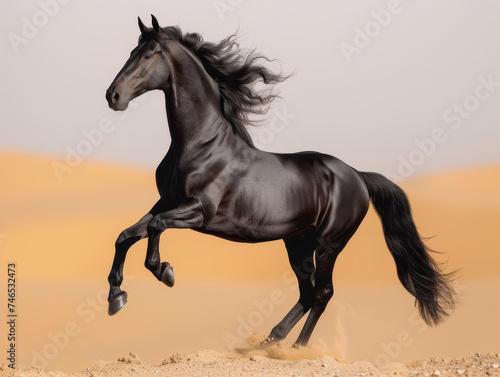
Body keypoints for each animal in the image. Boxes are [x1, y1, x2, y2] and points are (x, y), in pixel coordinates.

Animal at [105, 16, 458, 346]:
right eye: (131, 52)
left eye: (148, 54)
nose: (113, 96)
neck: (199, 144)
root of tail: (358, 175)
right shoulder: (166, 202)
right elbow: (126, 235)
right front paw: (116, 298)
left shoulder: (198, 211)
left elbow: (155, 228)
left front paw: (165, 272)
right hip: (298, 243)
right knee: (307, 292)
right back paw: (269, 341)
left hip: (329, 244)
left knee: (322, 293)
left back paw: (295, 348)